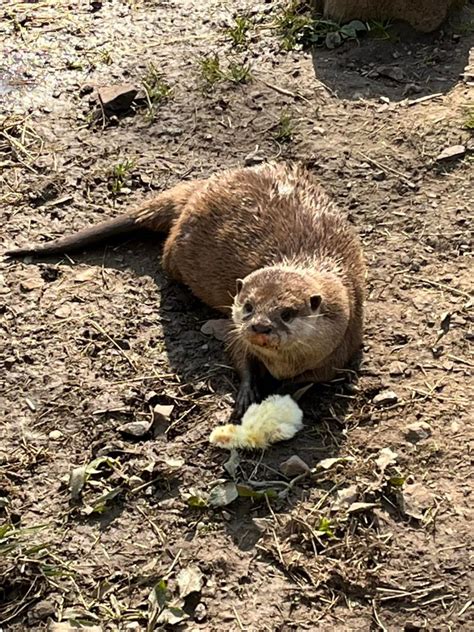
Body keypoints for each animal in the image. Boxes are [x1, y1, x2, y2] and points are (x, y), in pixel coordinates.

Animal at [5, 163, 364, 414]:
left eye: (287, 313)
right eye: (248, 306)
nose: (260, 326)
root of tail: (199, 189)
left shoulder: (340, 349)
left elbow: (312, 381)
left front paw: (284, 394)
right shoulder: (236, 332)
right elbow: (238, 354)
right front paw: (247, 392)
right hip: (176, 251)